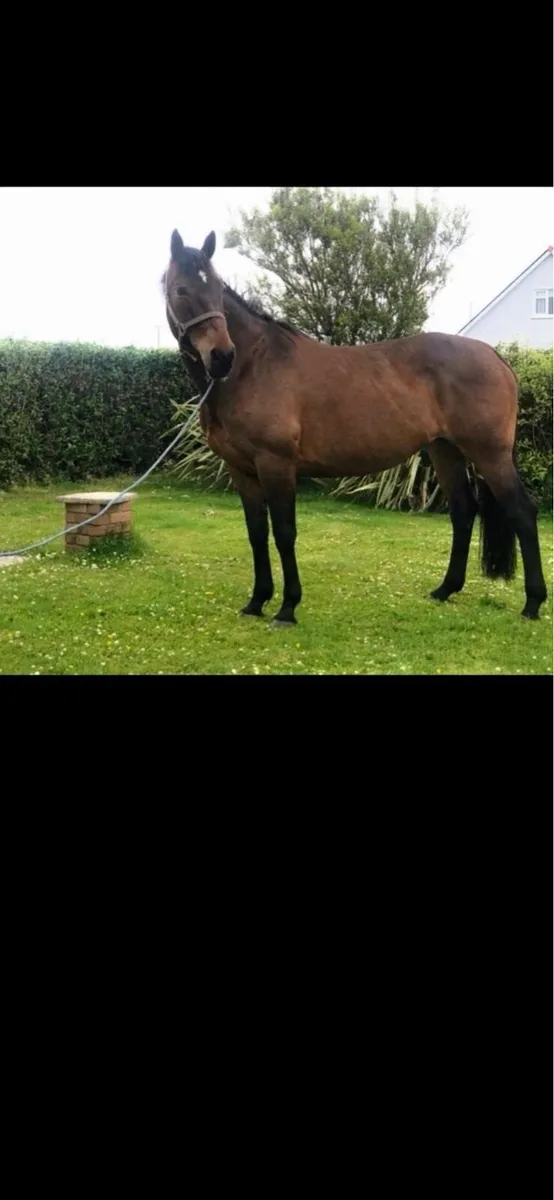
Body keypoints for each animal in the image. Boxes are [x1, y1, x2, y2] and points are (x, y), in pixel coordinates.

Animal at [162, 229, 547, 626]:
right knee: (463, 511)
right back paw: (445, 590)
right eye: (180, 289)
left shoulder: (276, 464)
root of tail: (495, 357)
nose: (222, 356)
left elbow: (284, 532)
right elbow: (257, 533)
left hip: (489, 454)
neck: (253, 366)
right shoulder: (241, 470)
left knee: (522, 512)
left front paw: (287, 608)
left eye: (217, 287)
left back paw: (532, 604)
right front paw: (257, 601)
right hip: (445, 451)